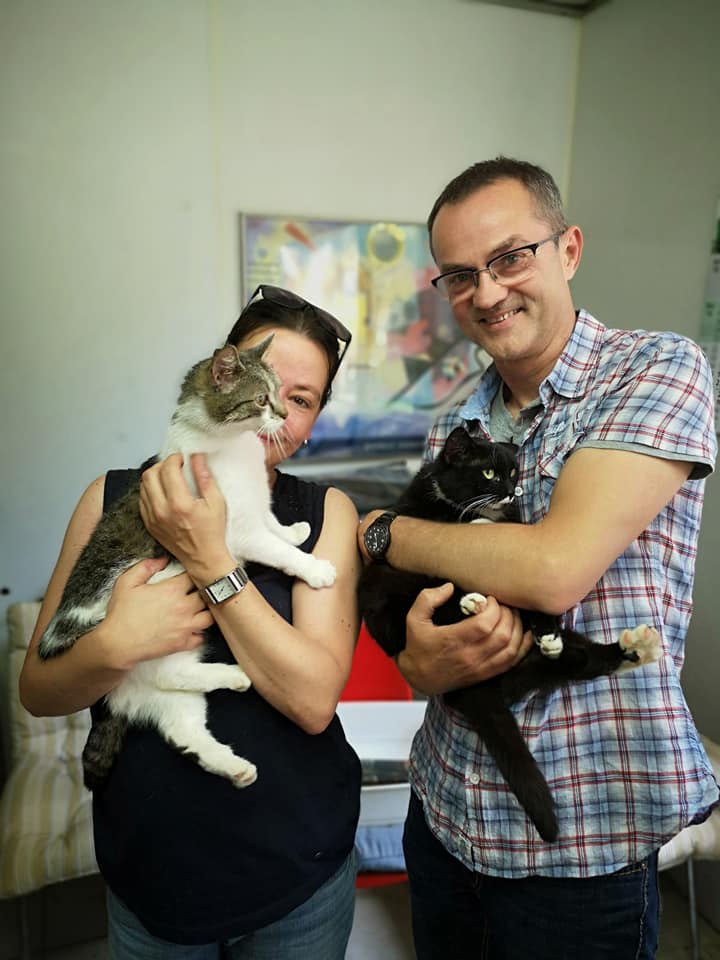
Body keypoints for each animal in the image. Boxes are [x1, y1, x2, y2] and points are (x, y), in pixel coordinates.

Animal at [357, 425, 661, 842]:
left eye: (514, 471)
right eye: (488, 473)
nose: (509, 491)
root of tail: (474, 688)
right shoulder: (418, 511)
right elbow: (461, 525)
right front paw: (481, 524)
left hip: (538, 656)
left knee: (577, 659)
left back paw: (625, 649)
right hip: (395, 590)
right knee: (442, 599)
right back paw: (474, 604)